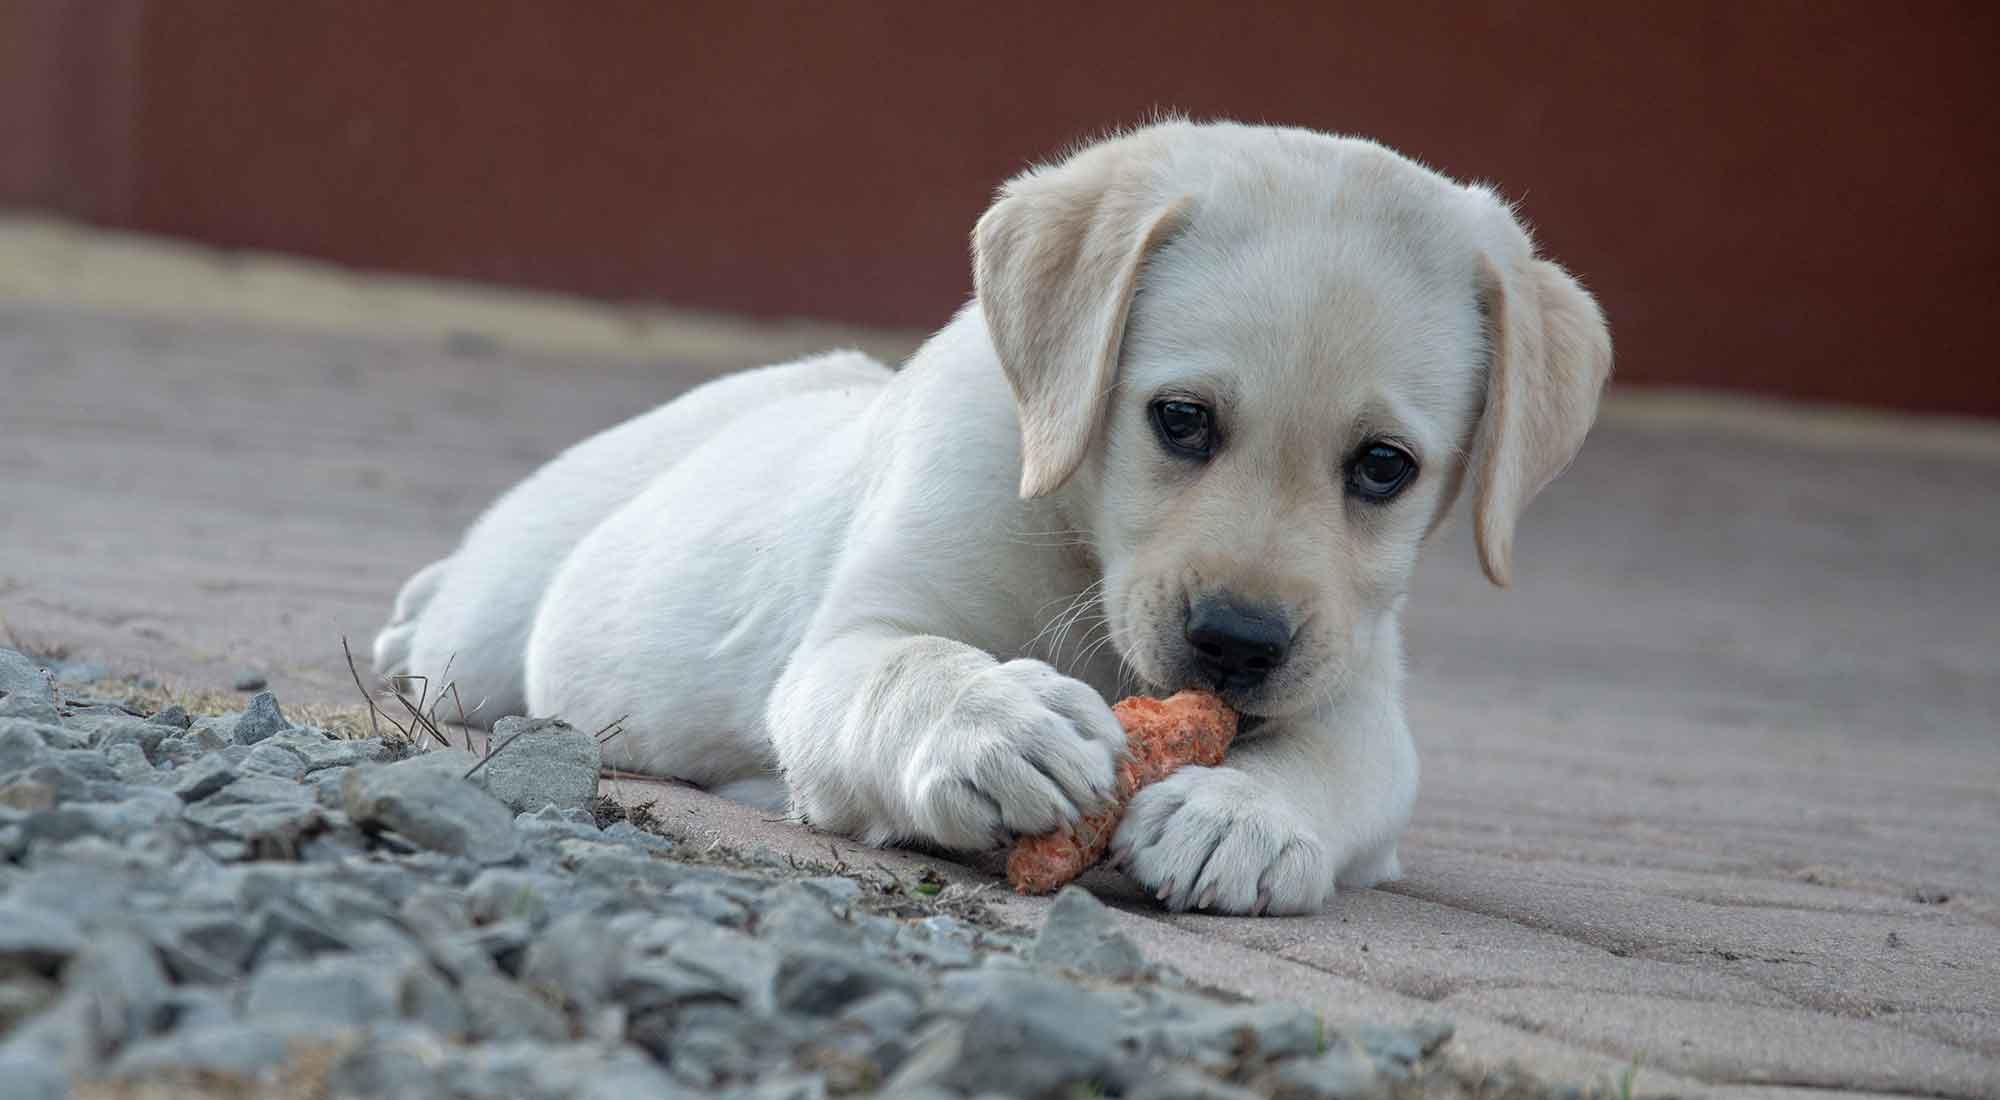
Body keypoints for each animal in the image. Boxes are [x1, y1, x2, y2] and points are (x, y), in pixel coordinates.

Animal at [376, 121, 1616, 920]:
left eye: (1381, 467)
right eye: (1179, 419)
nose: (1236, 643)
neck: (1078, 542)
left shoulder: (1358, 694)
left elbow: (1334, 761)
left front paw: (1243, 813)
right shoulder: (846, 645)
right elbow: (908, 665)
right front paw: (995, 723)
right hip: (492, 628)